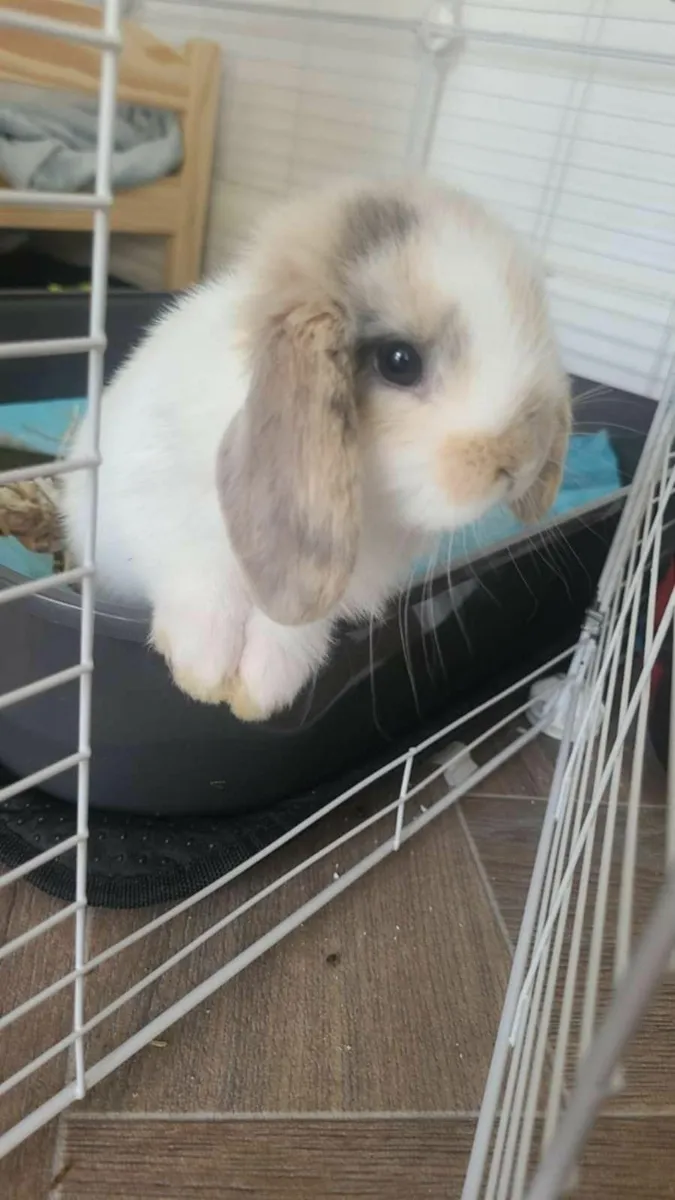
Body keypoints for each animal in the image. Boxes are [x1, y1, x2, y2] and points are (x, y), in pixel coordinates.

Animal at [60, 176, 571, 723]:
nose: (517, 461)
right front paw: (204, 672)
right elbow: (201, 578)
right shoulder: (161, 504)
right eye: (399, 361)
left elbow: (293, 623)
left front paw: (262, 689)